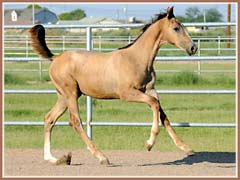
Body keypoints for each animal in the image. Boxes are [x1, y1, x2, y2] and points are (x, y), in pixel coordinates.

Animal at [29, 6, 197, 165]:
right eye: (176, 28)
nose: (193, 47)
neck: (136, 59)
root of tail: (55, 58)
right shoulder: (127, 94)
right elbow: (155, 104)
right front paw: (149, 144)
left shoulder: (150, 90)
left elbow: (163, 114)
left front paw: (186, 148)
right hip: (70, 94)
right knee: (75, 121)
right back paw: (101, 157)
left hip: (65, 97)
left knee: (49, 119)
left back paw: (54, 158)